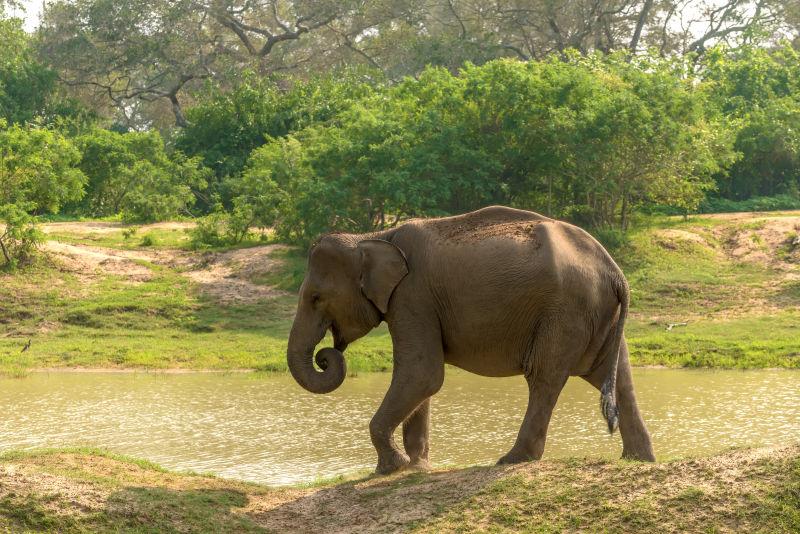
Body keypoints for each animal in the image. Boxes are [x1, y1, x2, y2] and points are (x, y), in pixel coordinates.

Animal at [288, 206, 656, 478]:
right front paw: (417, 467)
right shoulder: (414, 301)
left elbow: (422, 373)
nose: (327, 355)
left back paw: (513, 459)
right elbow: (421, 378)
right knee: (617, 377)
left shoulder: (413, 295)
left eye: (316, 298)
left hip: (566, 312)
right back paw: (639, 459)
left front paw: (391, 469)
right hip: (598, 316)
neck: (373, 238)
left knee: (544, 377)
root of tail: (616, 272)